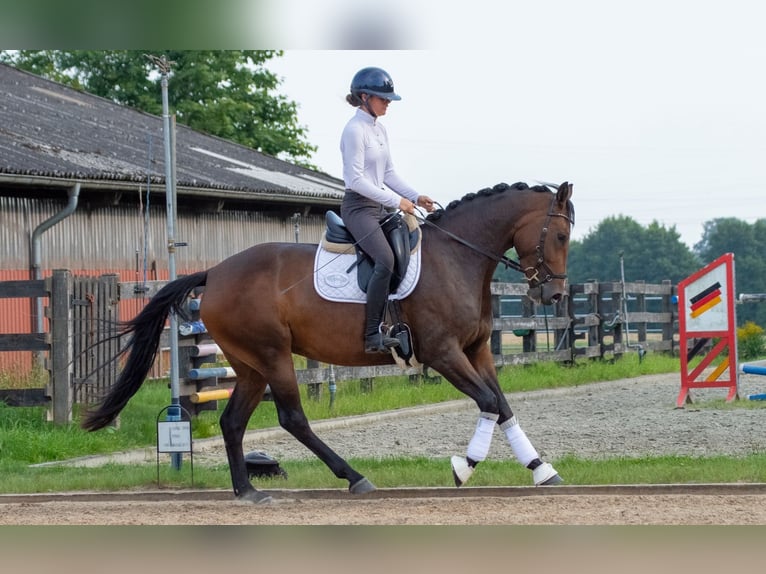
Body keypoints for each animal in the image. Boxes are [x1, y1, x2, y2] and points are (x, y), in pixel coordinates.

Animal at [82, 181, 575, 503]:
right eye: (562, 234)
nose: (552, 295)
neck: (457, 257)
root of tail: (216, 272)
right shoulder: (444, 353)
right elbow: (488, 402)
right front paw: (463, 467)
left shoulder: (476, 350)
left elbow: (502, 405)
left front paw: (542, 471)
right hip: (273, 356)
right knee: (293, 418)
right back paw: (353, 477)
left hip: (250, 365)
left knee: (233, 422)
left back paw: (248, 491)